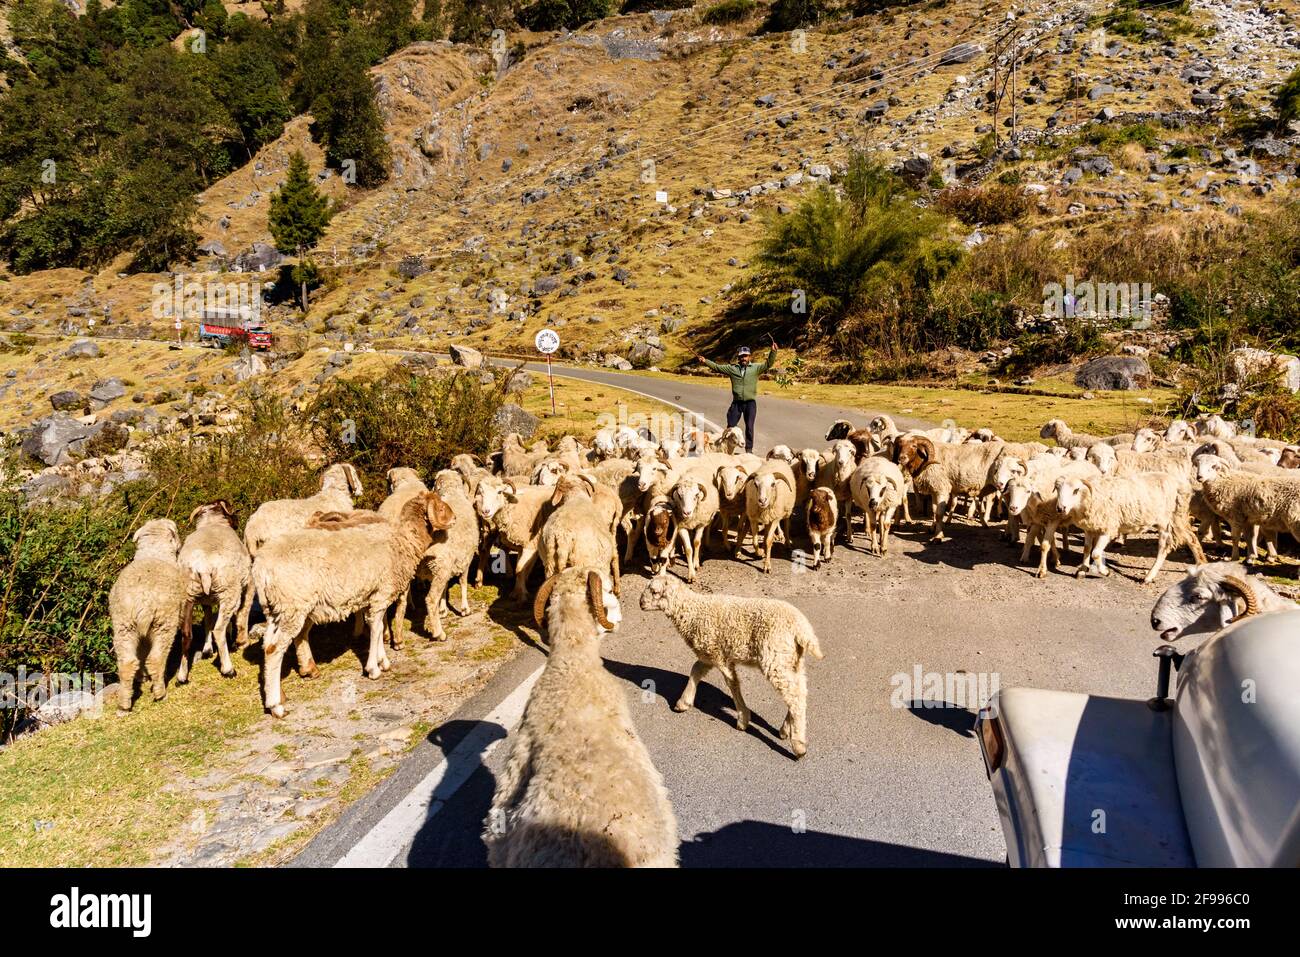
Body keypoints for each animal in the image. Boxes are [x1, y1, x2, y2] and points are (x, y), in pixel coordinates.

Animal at [176, 496, 249, 686]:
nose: (237, 522)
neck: (211, 522)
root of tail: (202, 566)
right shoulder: (244, 585)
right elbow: (237, 614)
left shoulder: (206, 601)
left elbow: (207, 621)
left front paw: (207, 650)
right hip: (229, 590)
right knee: (219, 629)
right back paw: (228, 669)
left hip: (188, 596)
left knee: (186, 635)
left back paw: (181, 676)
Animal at [253, 488, 457, 712]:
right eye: (440, 507)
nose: (455, 518)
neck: (403, 539)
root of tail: (261, 567)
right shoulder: (383, 592)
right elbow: (376, 628)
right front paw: (374, 668)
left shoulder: (375, 596)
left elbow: (379, 627)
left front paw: (382, 661)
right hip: (292, 607)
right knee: (274, 650)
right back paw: (276, 706)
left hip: (276, 610)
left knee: (269, 645)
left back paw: (283, 690)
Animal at [637, 572, 821, 759]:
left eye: (654, 591)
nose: (640, 603)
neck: (693, 612)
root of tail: (802, 628)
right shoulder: (708, 655)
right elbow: (695, 670)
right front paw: (684, 702)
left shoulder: (719, 655)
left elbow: (732, 684)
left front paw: (743, 719)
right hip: (792, 659)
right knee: (799, 691)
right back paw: (785, 730)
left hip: (775, 656)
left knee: (794, 696)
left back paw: (799, 745)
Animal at [1050, 473, 1201, 582]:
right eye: (1057, 489)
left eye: (1076, 490)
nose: (1060, 508)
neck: (1090, 497)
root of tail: (1181, 485)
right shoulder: (1090, 528)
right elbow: (1087, 549)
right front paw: (1083, 569)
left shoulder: (1108, 528)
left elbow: (1096, 553)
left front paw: (1105, 571)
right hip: (1177, 518)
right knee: (1191, 538)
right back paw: (1201, 563)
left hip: (1166, 521)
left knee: (1163, 548)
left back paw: (1149, 576)